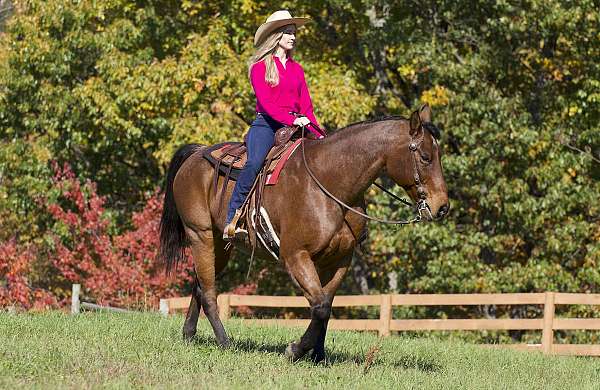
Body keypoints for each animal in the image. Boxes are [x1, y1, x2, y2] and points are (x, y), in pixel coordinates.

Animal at [157, 104, 448, 362]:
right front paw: (296, 350)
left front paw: (318, 356)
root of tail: (197, 153)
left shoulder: (339, 260)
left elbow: (327, 305)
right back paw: (225, 342)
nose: (442, 207)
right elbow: (319, 307)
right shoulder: (295, 256)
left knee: (199, 284)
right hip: (201, 235)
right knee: (208, 292)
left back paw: (189, 334)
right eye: (425, 157)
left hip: (220, 244)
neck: (329, 182)